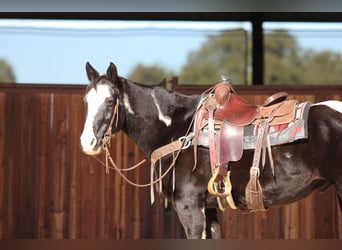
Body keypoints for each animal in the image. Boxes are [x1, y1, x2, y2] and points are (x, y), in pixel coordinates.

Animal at [79, 62, 342, 238]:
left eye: (110, 101)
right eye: (86, 101)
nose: (87, 142)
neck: (177, 127)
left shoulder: (189, 206)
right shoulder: (210, 209)